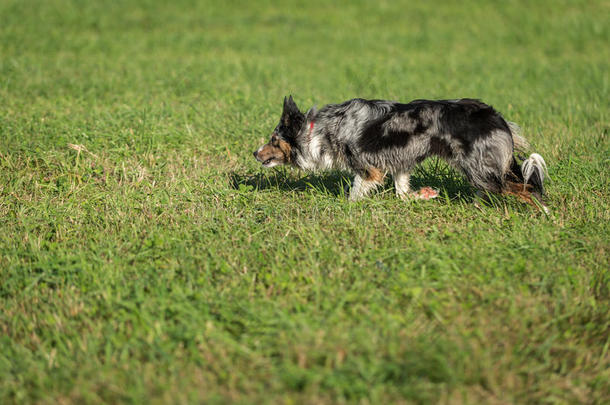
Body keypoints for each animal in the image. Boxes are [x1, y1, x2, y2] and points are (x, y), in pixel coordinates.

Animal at [252, 94, 548, 208]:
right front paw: (426, 195)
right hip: (479, 170)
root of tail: (497, 118)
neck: (319, 130)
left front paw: (347, 208)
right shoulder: (400, 163)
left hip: (479, 166)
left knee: (526, 188)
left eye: (274, 140)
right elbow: (403, 193)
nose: (255, 153)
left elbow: (354, 193)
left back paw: (543, 214)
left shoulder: (369, 168)